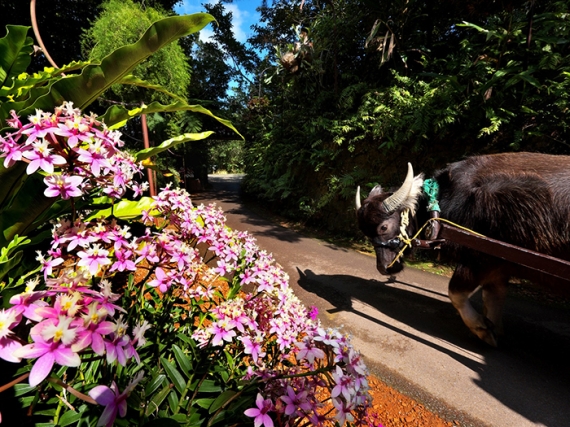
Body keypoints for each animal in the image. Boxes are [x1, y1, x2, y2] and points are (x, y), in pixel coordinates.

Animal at [356, 152, 568, 346]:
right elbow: (493, 297)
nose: (384, 268)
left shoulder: (480, 259)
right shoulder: (499, 267)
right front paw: (493, 330)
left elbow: (455, 292)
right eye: (366, 232)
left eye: (383, 227)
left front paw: (481, 328)